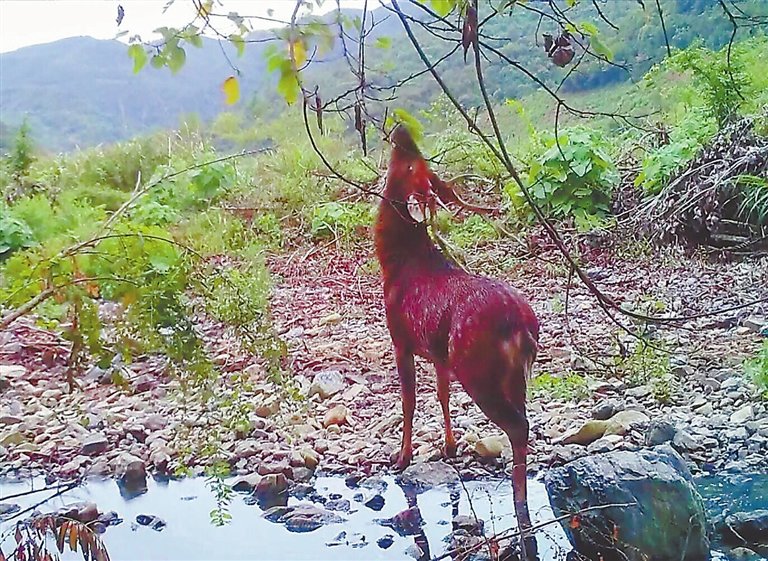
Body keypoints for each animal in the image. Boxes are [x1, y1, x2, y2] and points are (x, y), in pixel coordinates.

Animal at [376, 126, 536, 552]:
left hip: (476, 366)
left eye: (412, 165)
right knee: (524, 420)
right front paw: (448, 447)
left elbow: (410, 401)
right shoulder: (437, 351)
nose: (402, 130)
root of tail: (522, 327)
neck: (394, 265)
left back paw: (519, 501)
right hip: (509, 374)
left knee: (518, 426)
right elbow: (442, 395)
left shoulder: (400, 337)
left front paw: (401, 457)